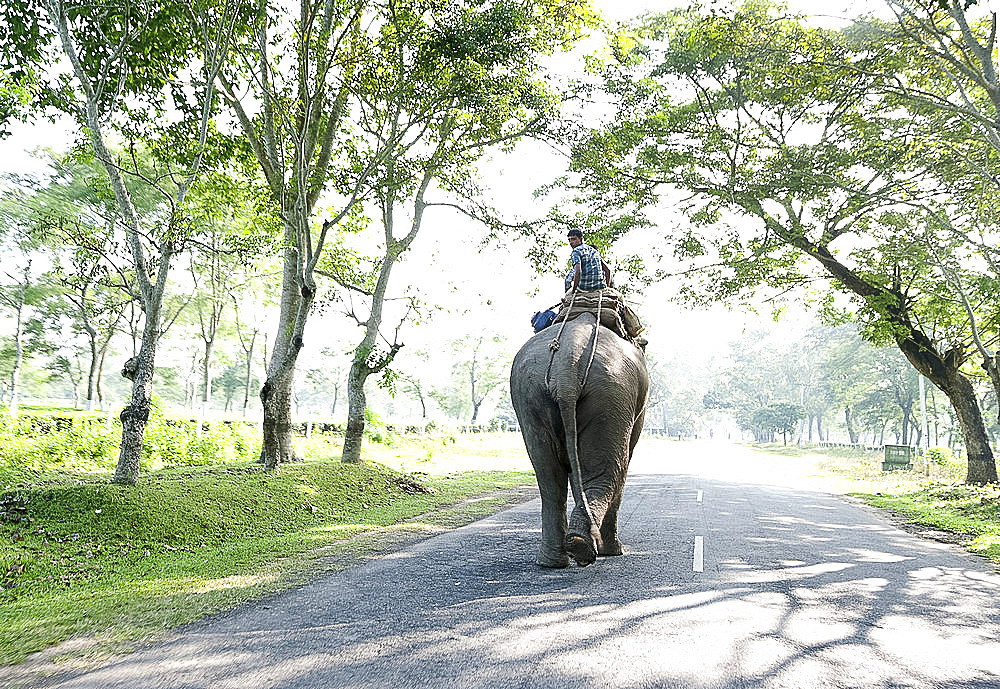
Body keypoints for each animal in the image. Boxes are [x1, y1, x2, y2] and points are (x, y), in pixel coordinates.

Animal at [508, 312, 648, 564]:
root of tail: (568, 364)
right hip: (611, 395)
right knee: (612, 472)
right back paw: (589, 548)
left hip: (529, 394)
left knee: (548, 476)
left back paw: (556, 559)